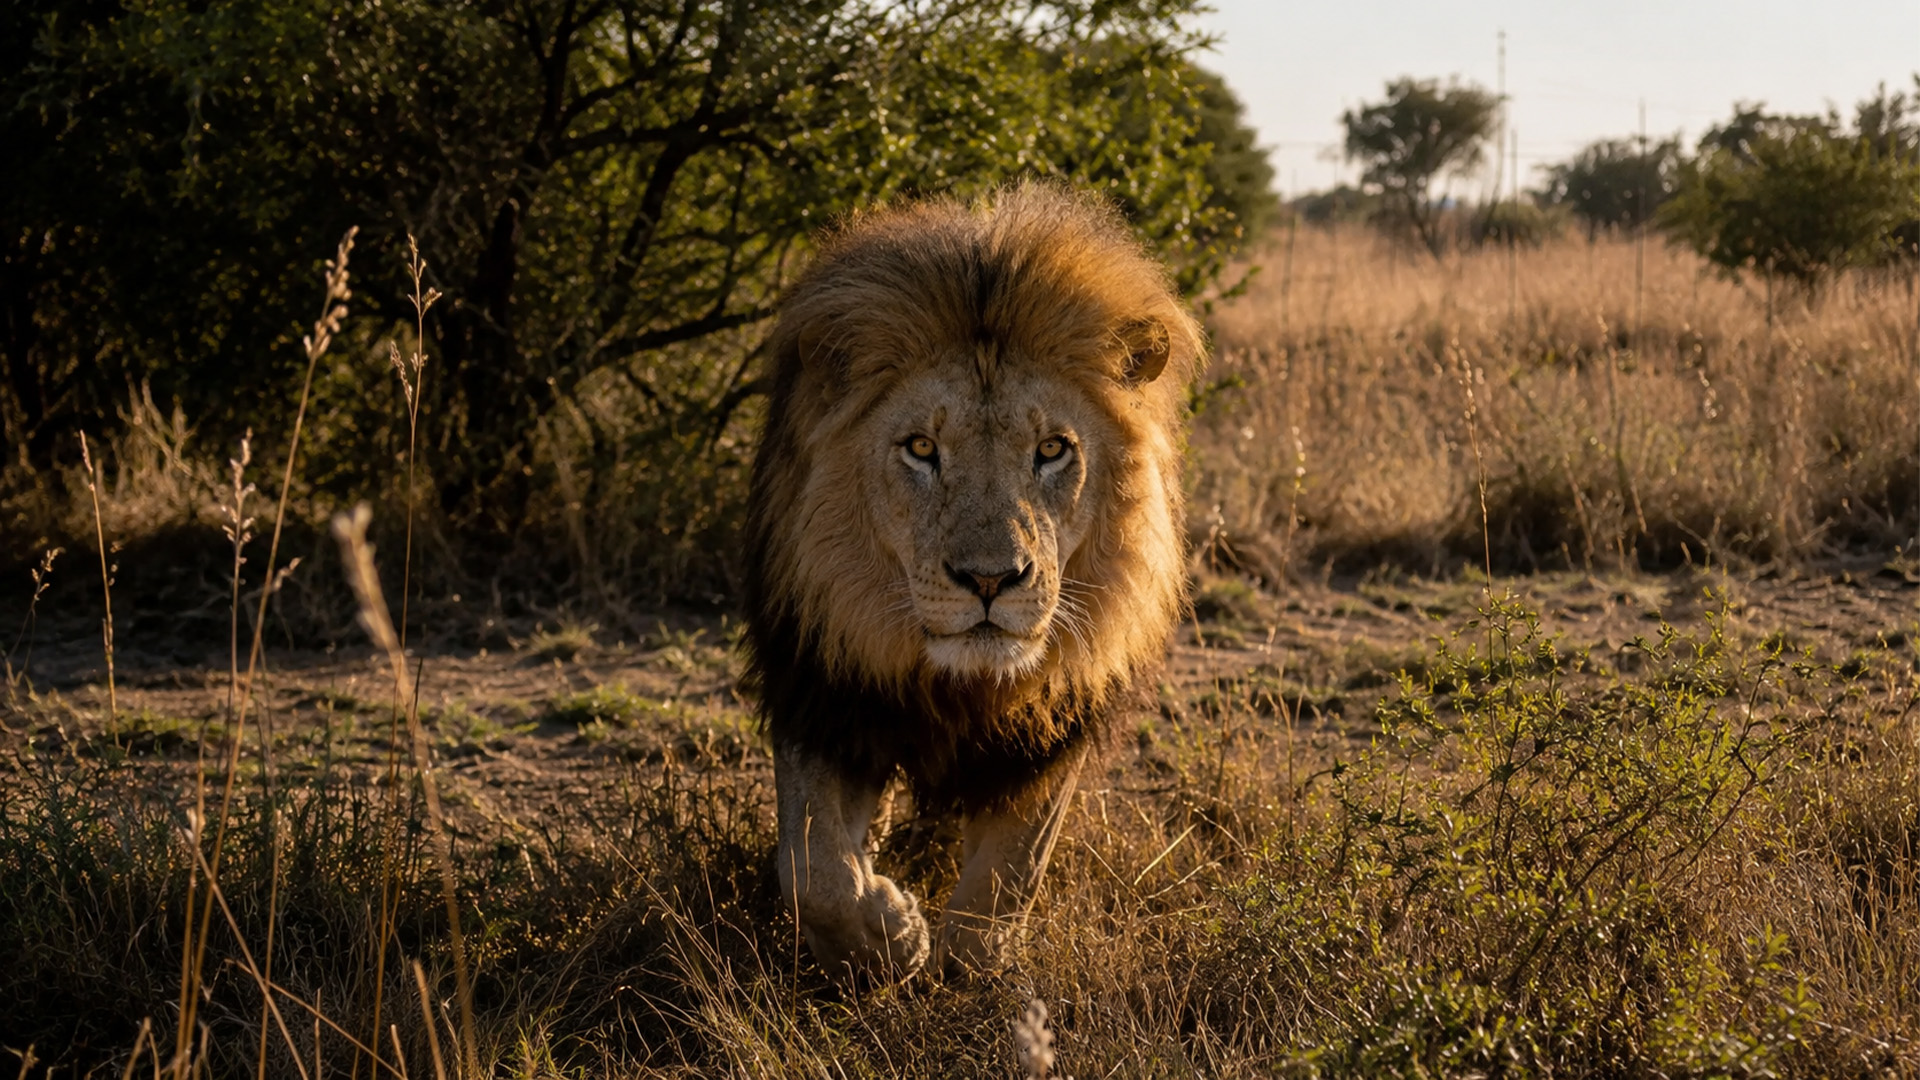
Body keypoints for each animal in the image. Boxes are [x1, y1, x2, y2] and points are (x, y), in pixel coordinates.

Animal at [743, 183, 1201, 981]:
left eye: (1052, 450)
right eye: (922, 448)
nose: (991, 580)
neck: (963, 683)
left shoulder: (1058, 720)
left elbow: (1016, 864)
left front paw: (972, 959)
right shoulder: (821, 685)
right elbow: (810, 868)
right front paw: (886, 937)